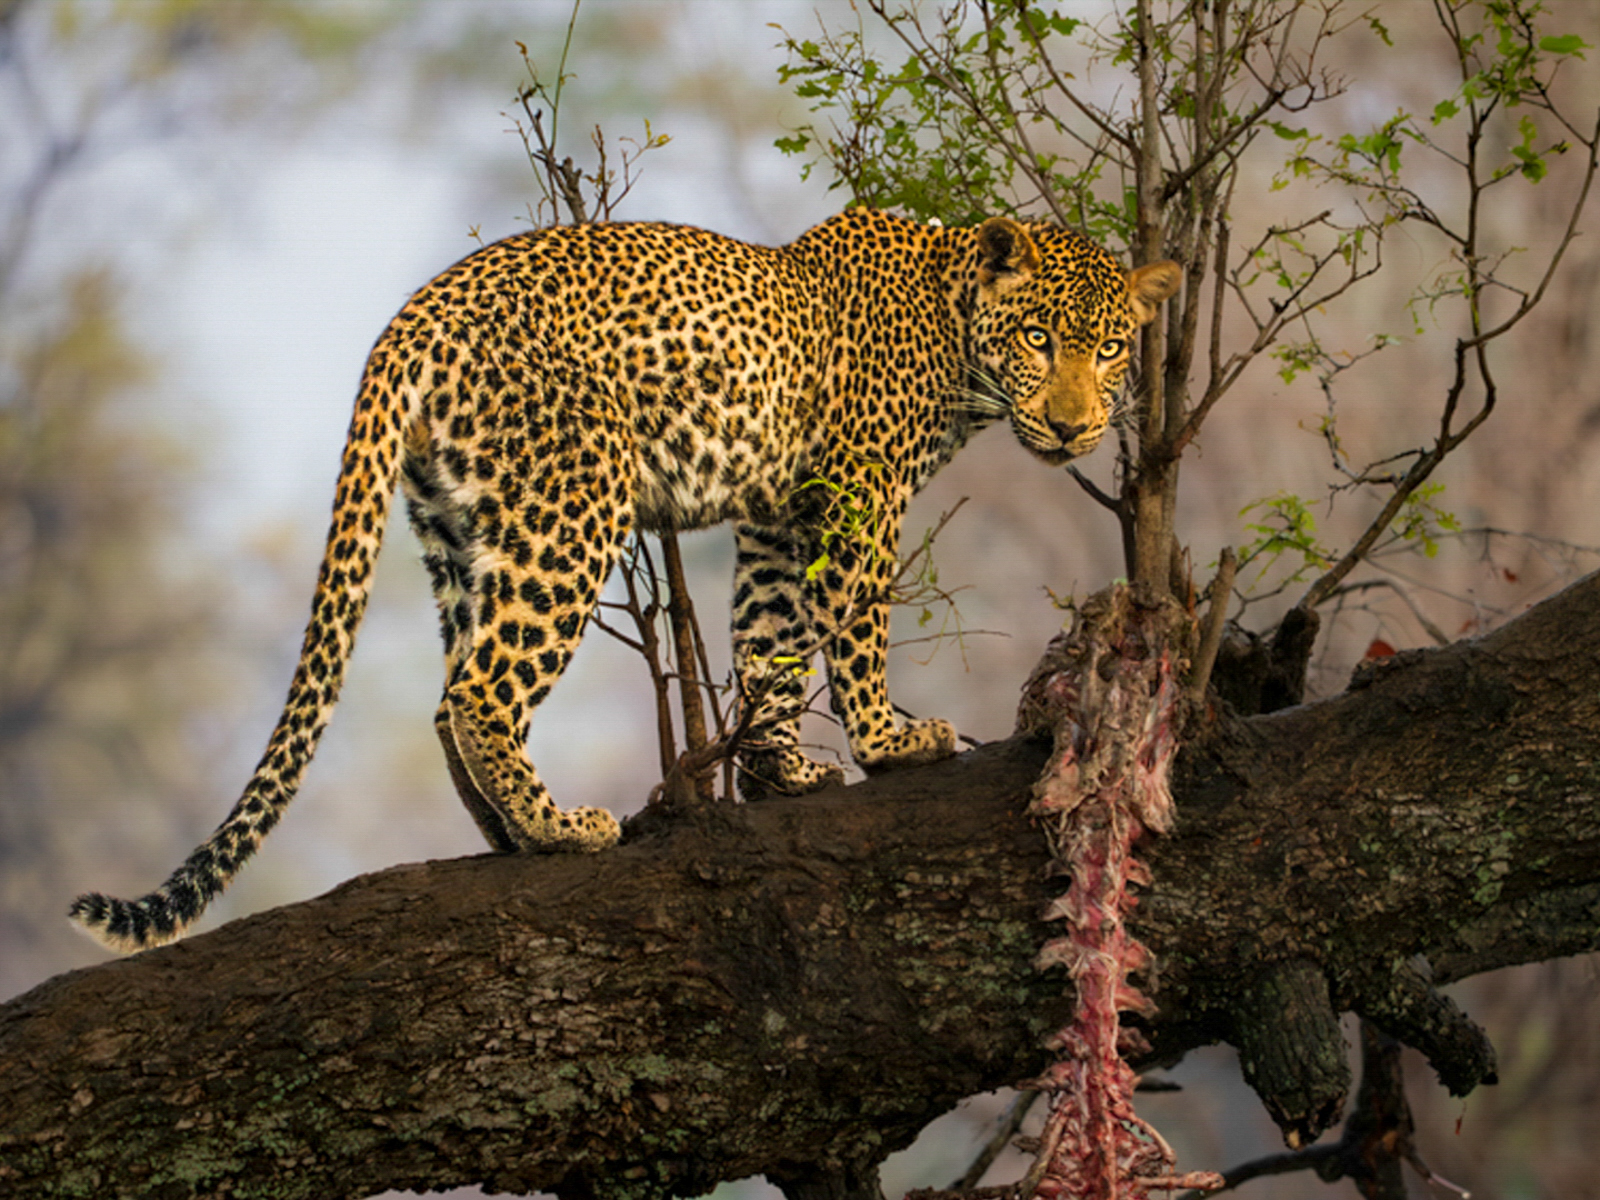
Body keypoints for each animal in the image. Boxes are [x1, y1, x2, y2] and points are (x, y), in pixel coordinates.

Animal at [69, 206, 1180, 952]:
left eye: (1110, 349)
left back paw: (507, 832)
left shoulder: (776, 513)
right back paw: (560, 829)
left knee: (449, 689)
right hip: (573, 508)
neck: (955, 333)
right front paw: (888, 739)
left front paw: (784, 768)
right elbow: (855, 621)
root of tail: (412, 316)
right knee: (481, 690)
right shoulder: (857, 491)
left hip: (459, 527)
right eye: (1040, 340)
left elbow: (768, 638)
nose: (1076, 425)